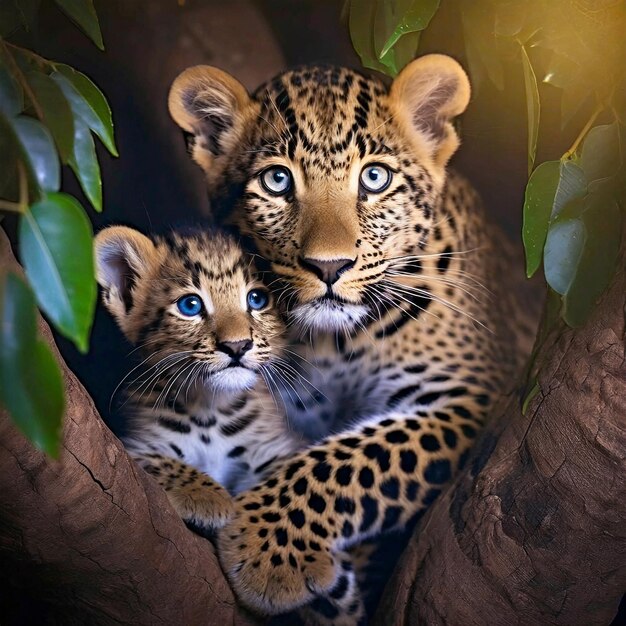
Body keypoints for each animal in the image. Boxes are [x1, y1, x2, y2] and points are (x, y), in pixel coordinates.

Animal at [169, 57, 536, 620]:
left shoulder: (466, 395)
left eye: (375, 177)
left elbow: (355, 459)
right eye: (277, 180)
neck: (334, 346)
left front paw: (267, 547)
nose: (329, 266)